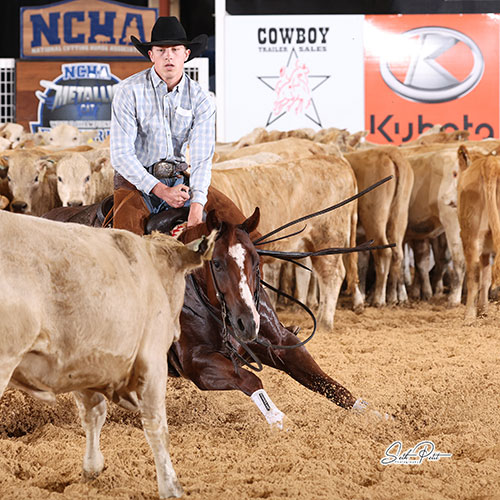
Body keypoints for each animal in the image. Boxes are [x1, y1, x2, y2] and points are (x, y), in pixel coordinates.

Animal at [0, 208, 217, 498]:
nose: (177, 330)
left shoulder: (85, 363)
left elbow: (93, 415)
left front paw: (92, 468)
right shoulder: (152, 363)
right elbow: (157, 426)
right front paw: (171, 486)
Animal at [43, 186, 385, 427]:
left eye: (256, 261)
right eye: (216, 263)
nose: (246, 322)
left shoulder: (278, 341)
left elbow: (322, 380)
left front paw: (370, 412)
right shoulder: (196, 363)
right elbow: (251, 380)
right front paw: (277, 418)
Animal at [344, 146, 414, 306]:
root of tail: (391, 153)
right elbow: (362, 263)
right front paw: (362, 294)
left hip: (375, 218)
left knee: (384, 252)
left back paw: (379, 298)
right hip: (399, 216)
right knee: (397, 254)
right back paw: (396, 297)